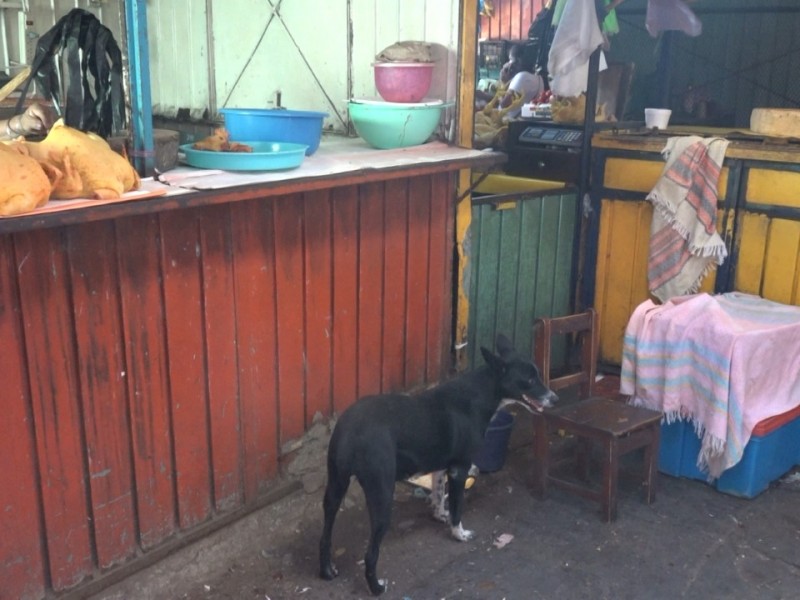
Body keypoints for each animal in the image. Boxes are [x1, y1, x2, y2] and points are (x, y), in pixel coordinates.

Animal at [318, 332, 556, 596]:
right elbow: (458, 506)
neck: (481, 393)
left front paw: (440, 515)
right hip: (381, 495)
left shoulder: (443, 467)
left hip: (336, 486)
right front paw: (459, 534)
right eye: (529, 379)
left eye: (537, 374)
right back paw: (377, 587)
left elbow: (440, 494)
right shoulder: (460, 469)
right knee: (370, 555)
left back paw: (327, 571)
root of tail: (352, 430)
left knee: (325, 534)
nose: (555, 399)